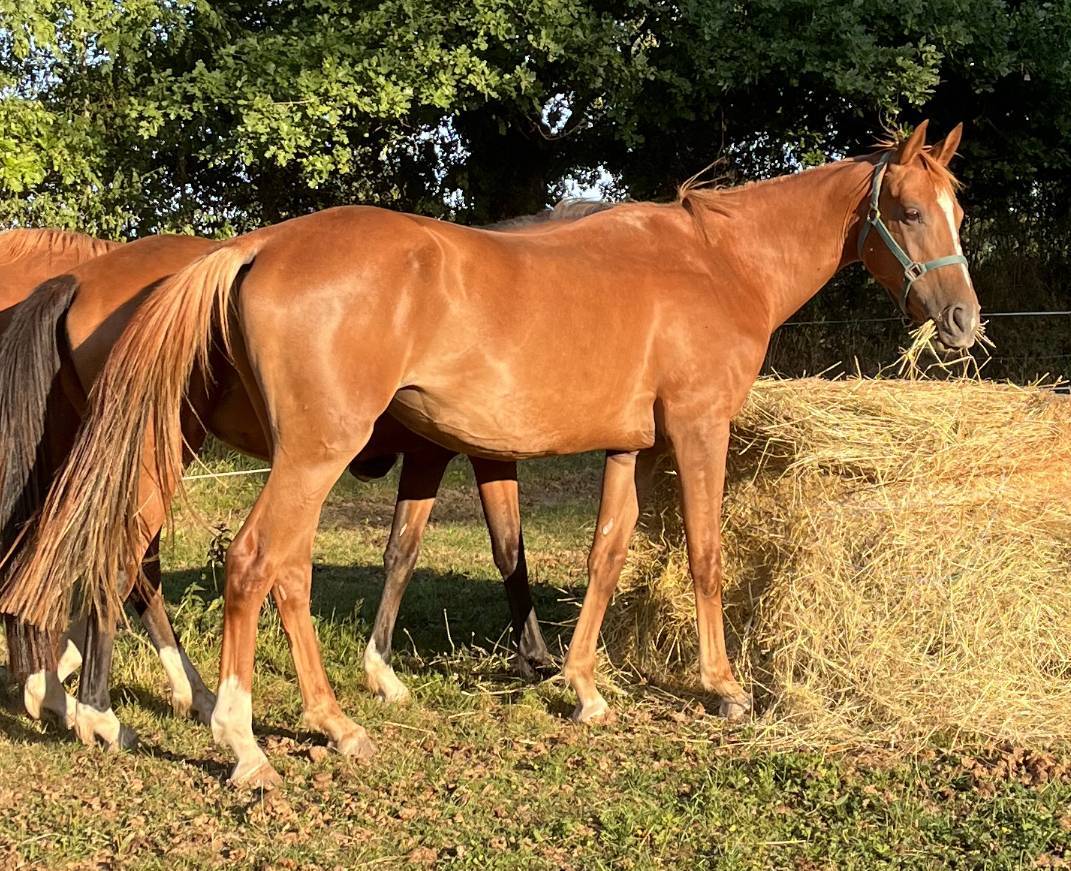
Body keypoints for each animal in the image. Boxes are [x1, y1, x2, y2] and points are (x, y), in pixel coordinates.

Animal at [3, 121, 980, 788]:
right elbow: (704, 555)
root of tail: (256, 245)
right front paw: (723, 686)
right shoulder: (696, 432)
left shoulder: (625, 448)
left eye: (957, 210)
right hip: (303, 453)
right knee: (247, 562)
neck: (715, 262)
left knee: (221, 564)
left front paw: (582, 685)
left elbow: (603, 555)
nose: (963, 321)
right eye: (905, 211)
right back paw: (237, 738)